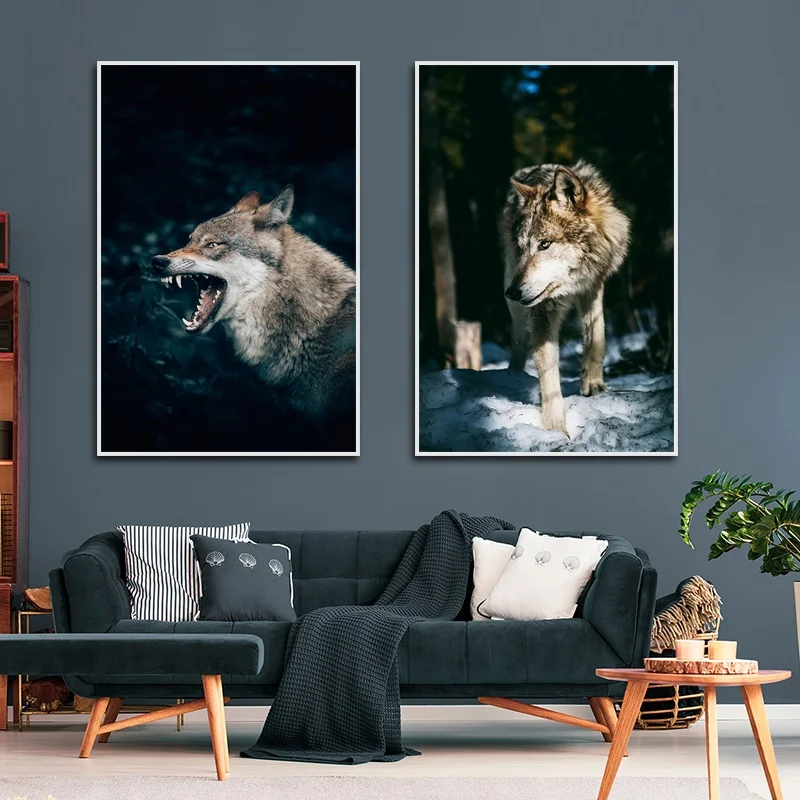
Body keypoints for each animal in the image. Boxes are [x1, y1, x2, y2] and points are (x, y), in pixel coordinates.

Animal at [501, 160, 630, 435]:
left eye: (545, 244)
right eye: (523, 248)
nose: (512, 292)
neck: (571, 282)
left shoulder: (593, 286)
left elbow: (596, 338)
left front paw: (593, 385)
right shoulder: (542, 308)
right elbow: (548, 370)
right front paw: (555, 428)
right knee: (519, 339)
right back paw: (512, 374)